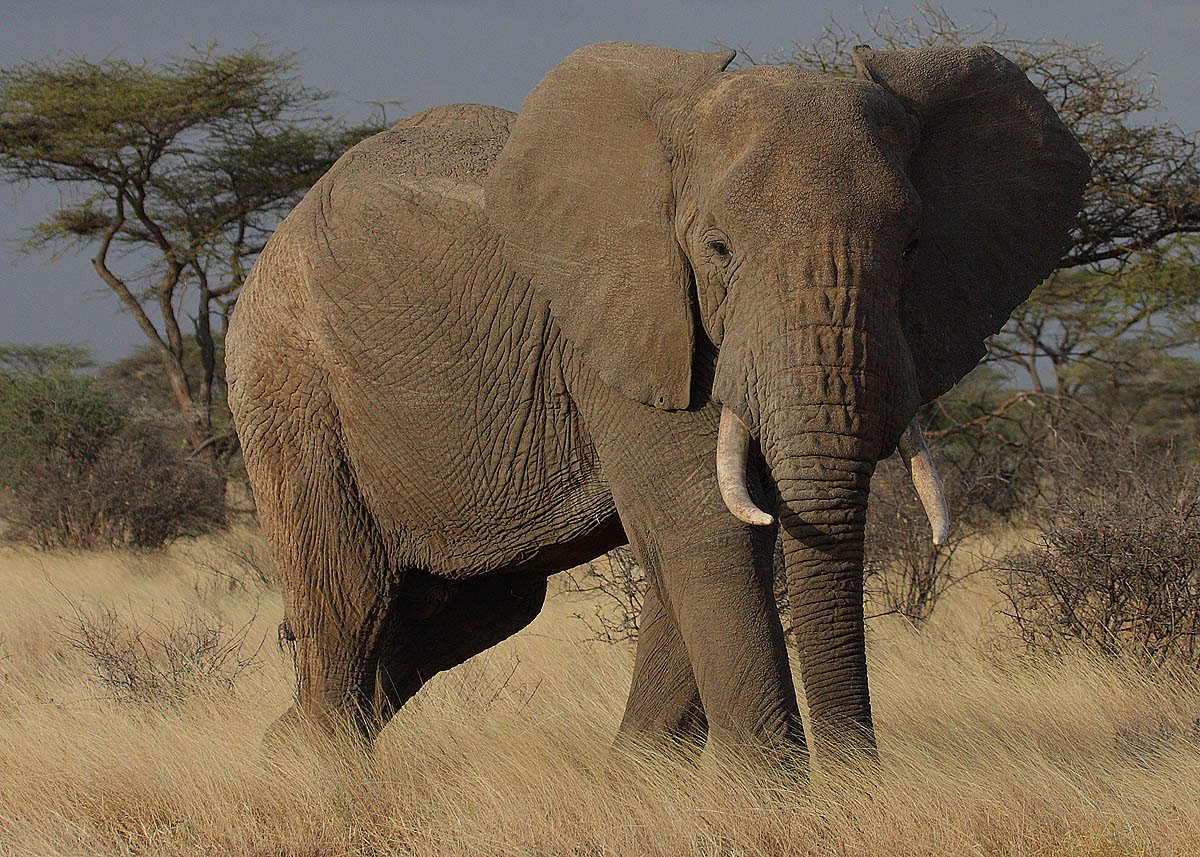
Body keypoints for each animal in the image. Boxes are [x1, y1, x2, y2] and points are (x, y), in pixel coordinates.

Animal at [226, 41, 1088, 764]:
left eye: (912, 247)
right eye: (717, 249)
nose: (862, 778)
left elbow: (715, 535)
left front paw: (642, 779)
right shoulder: (624, 322)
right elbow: (708, 522)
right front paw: (765, 793)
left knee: (482, 604)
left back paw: (279, 745)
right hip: (287, 378)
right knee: (352, 596)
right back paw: (317, 770)